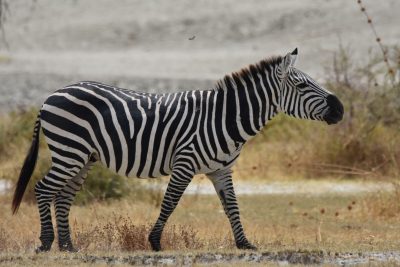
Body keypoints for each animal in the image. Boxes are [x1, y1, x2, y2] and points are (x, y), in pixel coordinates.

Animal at [12, 48, 344, 253]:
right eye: (302, 86)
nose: (340, 109)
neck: (224, 117)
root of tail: (51, 95)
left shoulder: (221, 169)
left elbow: (232, 206)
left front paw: (244, 243)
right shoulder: (185, 162)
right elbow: (170, 202)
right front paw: (155, 242)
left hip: (83, 157)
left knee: (63, 196)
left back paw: (69, 246)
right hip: (69, 150)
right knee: (43, 189)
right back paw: (46, 243)